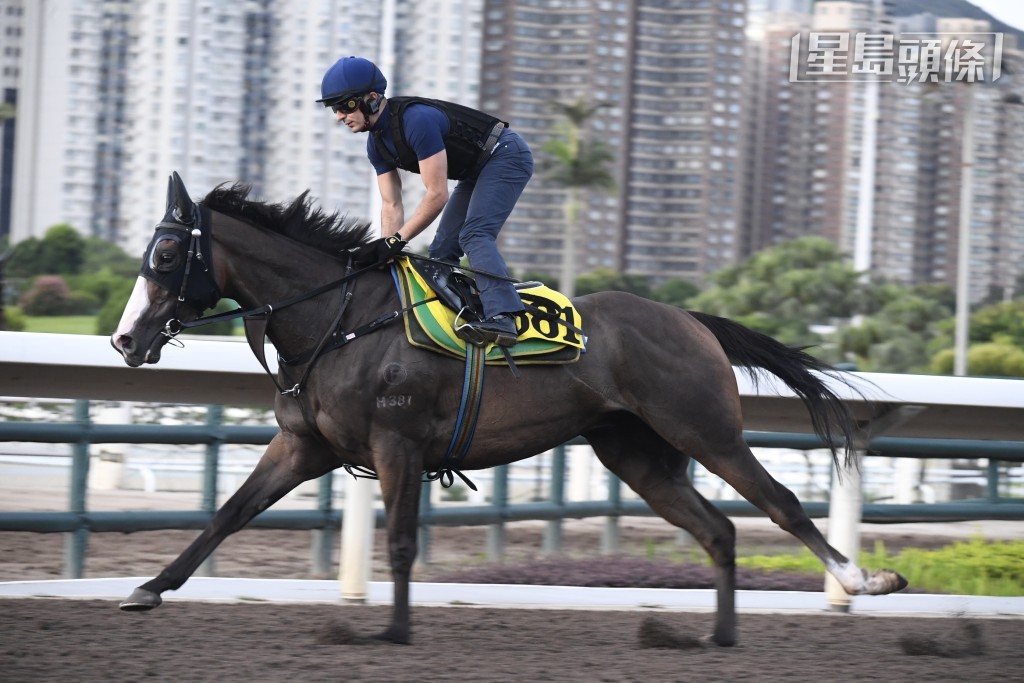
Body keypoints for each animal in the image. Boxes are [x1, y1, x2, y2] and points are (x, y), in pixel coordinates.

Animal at [112, 172, 909, 647]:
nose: (125, 339)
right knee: (718, 530)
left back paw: (866, 582)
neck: (342, 321)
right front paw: (148, 588)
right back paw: (719, 636)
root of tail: (691, 319)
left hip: (704, 428)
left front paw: (393, 631)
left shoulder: (397, 442)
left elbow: (401, 543)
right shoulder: (306, 447)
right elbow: (228, 512)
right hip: (639, 454)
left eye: (165, 254)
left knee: (780, 505)